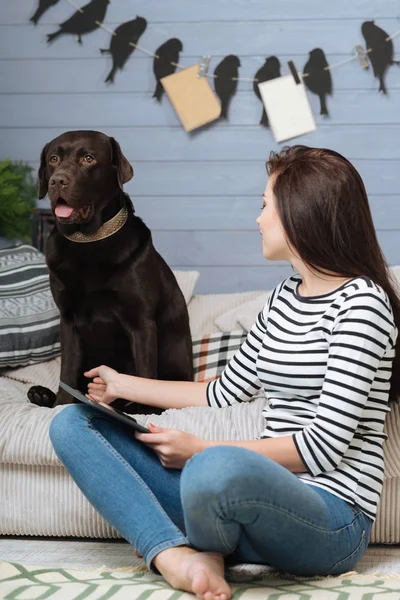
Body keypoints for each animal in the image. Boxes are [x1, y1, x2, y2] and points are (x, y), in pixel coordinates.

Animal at [27, 129, 193, 414]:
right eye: (53, 159)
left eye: (89, 159)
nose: (58, 181)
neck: (89, 240)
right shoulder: (67, 320)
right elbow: (67, 371)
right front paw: (61, 404)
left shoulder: (141, 322)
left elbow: (145, 374)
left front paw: (142, 411)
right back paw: (41, 394)